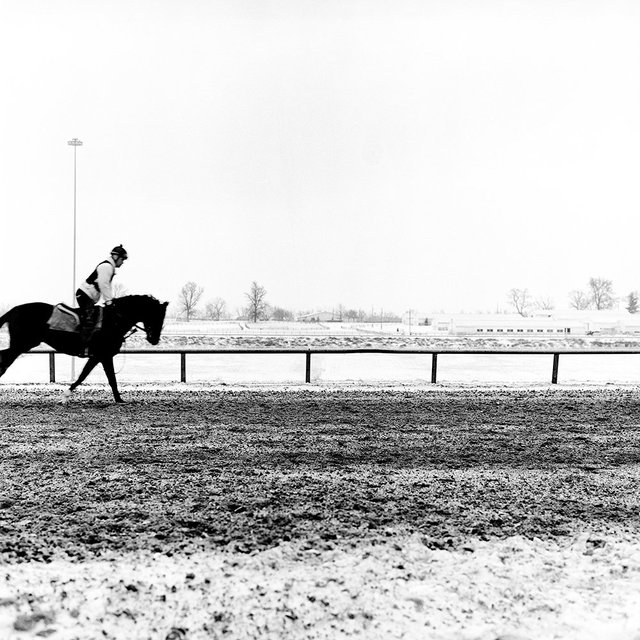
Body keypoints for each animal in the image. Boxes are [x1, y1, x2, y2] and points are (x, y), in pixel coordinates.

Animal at [0, 296, 168, 404]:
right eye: (156, 317)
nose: (154, 339)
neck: (113, 320)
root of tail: (14, 309)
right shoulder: (102, 355)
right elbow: (94, 377)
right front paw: (65, 397)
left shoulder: (101, 356)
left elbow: (99, 377)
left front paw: (119, 399)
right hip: (22, 344)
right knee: (4, 360)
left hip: (23, 344)